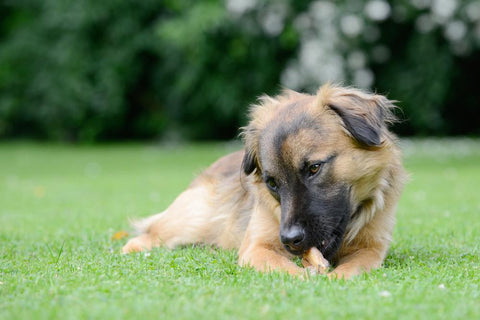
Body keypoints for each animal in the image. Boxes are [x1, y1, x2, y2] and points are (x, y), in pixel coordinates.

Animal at [122, 84, 406, 278]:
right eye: (272, 182)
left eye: (314, 168)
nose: (290, 239)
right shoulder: (256, 247)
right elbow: (284, 267)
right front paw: (306, 276)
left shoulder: (371, 249)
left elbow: (353, 268)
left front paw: (335, 277)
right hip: (190, 221)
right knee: (147, 235)